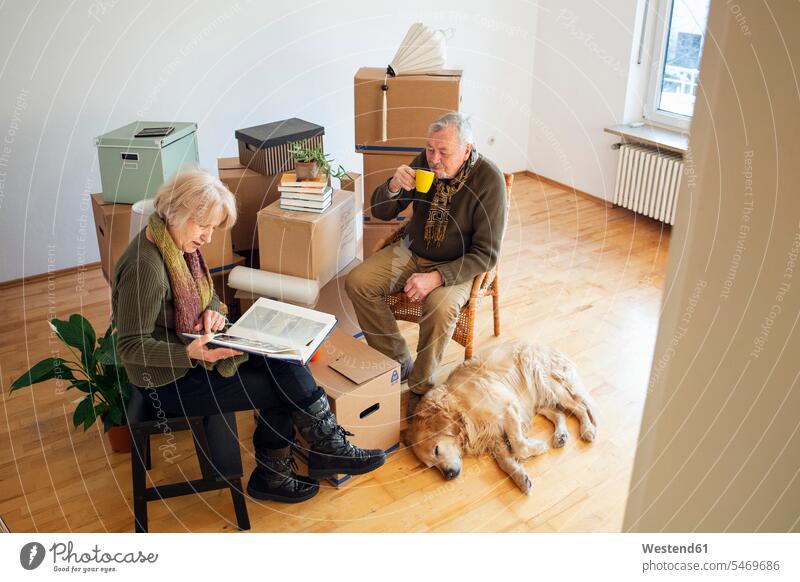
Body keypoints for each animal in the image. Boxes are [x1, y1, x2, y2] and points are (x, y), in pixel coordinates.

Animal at [410, 342, 596, 498]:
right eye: (431, 465)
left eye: (436, 450)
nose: (449, 476)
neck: (460, 406)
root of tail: (548, 347)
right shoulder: (493, 436)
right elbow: (505, 462)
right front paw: (521, 479)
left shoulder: (507, 408)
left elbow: (519, 446)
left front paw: (538, 447)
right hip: (536, 401)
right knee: (560, 414)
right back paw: (560, 436)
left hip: (549, 385)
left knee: (580, 407)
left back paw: (587, 430)